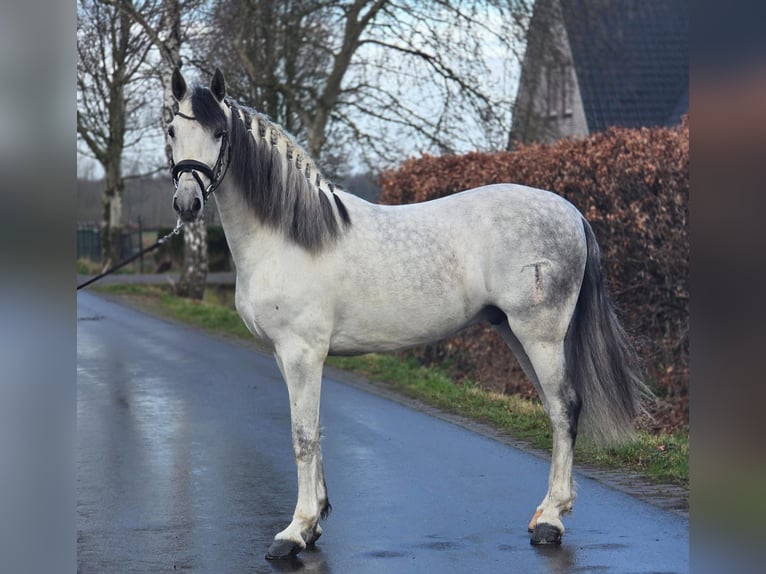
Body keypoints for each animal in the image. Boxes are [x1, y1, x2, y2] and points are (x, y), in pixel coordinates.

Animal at [166, 68, 647, 559]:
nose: (187, 204)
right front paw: (315, 522)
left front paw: (294, 532)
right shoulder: (286, 355)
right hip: (517, 333)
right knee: (554, 410)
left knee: (565, 408)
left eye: (219, 133)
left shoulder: (302, 354)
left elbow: (302, 436)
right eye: (171, 131)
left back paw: (550, 522)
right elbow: (315, 431)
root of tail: (571, 212)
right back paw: (547, 514)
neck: (289, 237)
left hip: (541, 335)